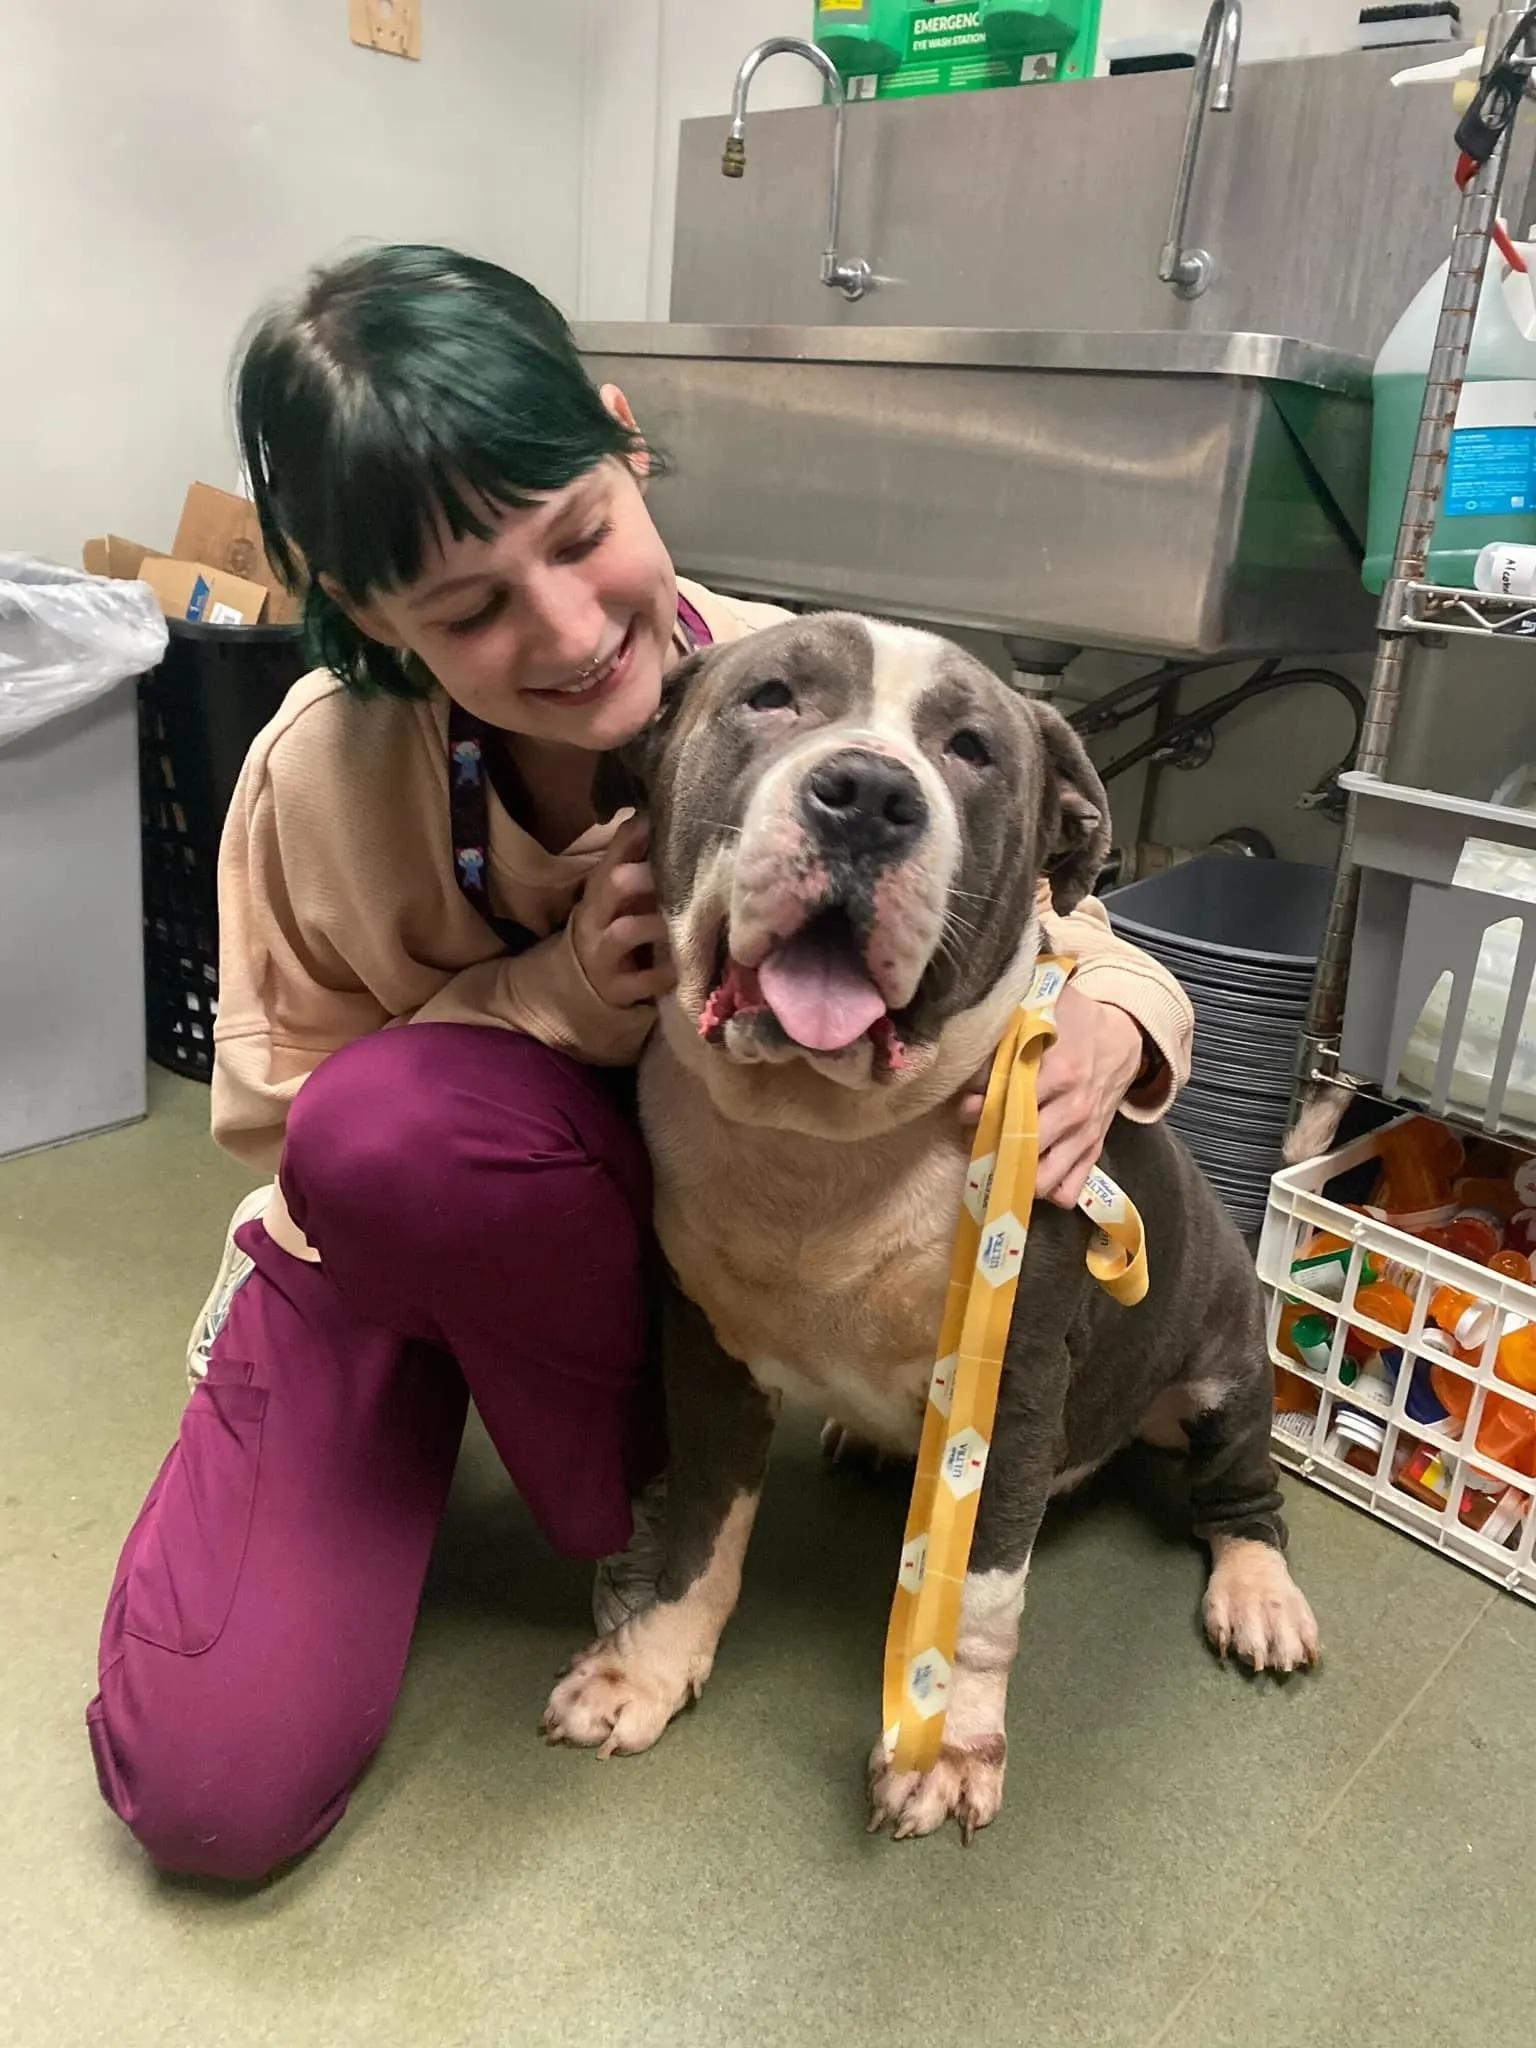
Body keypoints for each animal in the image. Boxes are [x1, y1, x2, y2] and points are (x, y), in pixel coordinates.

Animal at [544, 606, 1327, 1843]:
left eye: (972, 749)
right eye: (771, 695)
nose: (867, 793)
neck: (821, 1133)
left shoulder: (1010, 1387)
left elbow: (979, 1601)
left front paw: (949, 1743)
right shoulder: (705, 1355)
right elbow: (699, 1537)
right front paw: (646, 1669)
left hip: (1224, 1365)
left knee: (1245, 1493)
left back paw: (1258, 1592)